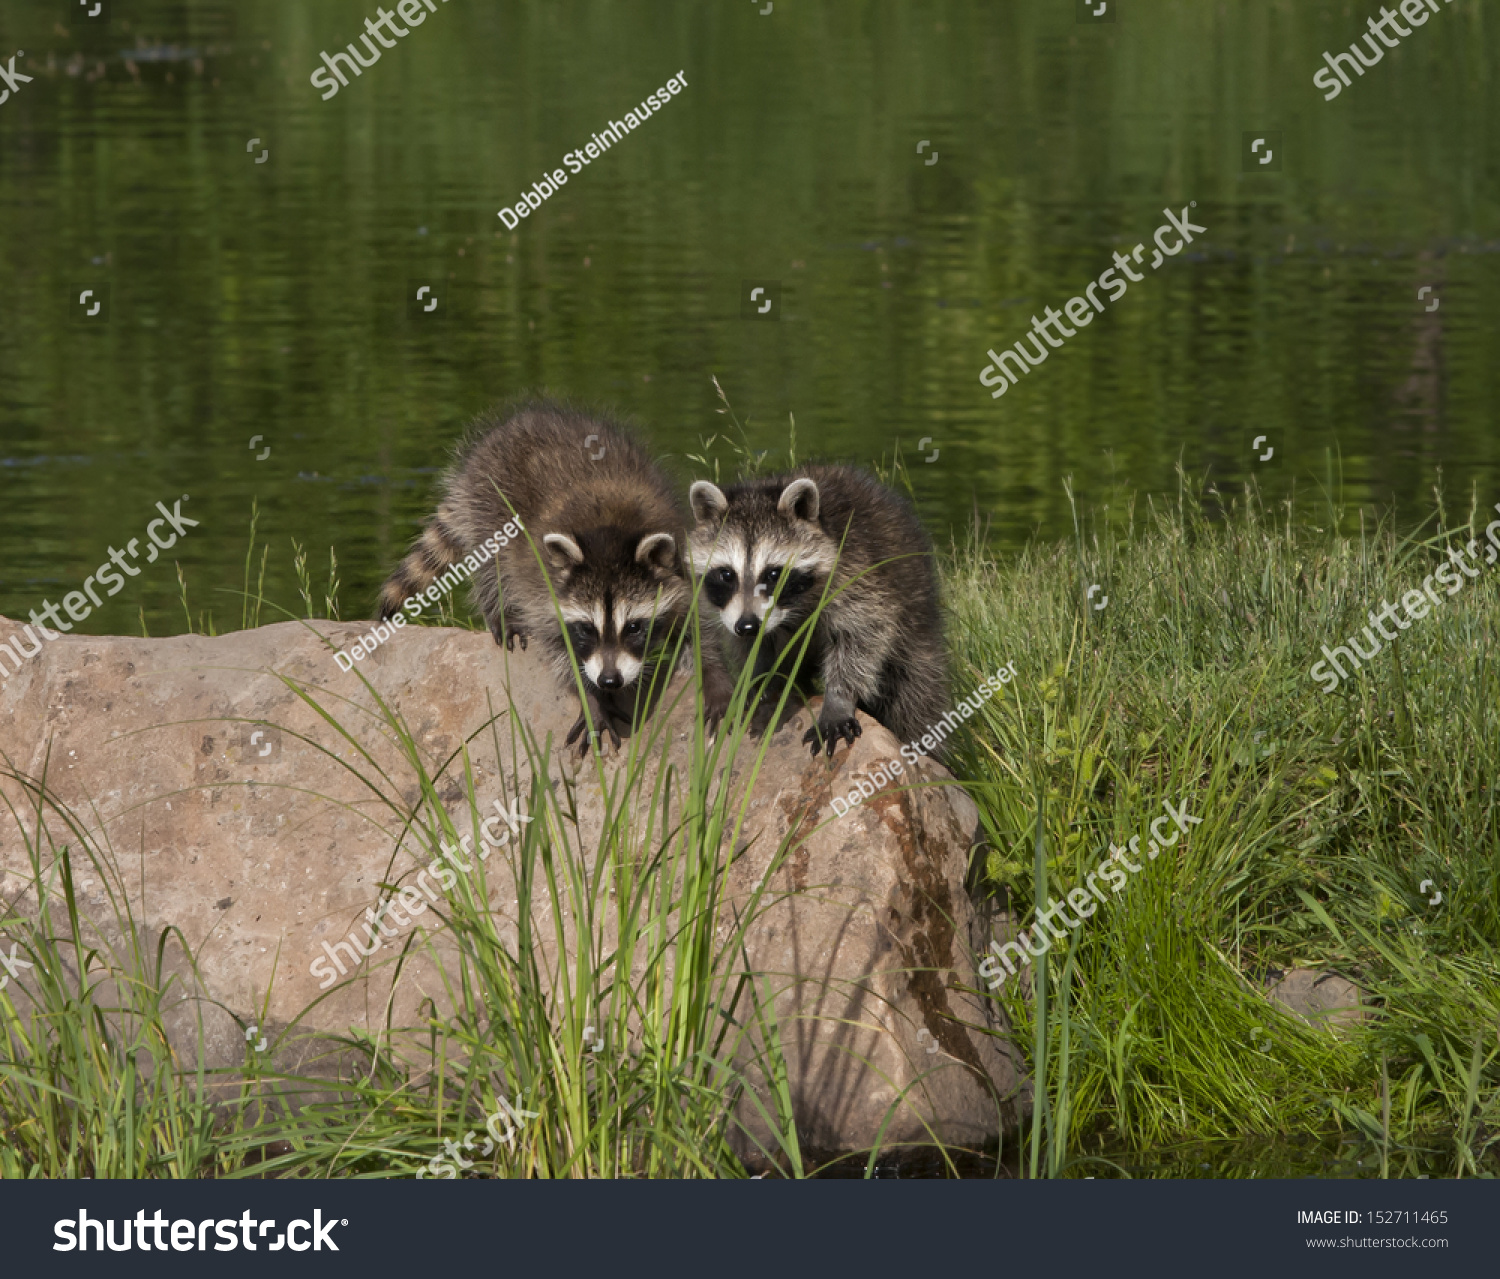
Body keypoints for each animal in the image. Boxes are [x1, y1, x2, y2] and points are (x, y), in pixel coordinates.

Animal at [375, 398, 726, 752]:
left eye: (634, 627)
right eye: (586, 628)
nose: (609, 680)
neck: (609, 535)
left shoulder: (681, 565)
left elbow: (701, 624)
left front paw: (714, 675)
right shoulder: (542, 589)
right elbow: (560, 650)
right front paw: (591, 697)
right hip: (487, 506)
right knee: (492, 568)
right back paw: (500, 609)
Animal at [687, 461, 948, 752]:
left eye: (773, 574)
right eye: (726, 575)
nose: (748, 626)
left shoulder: (857, 572)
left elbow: (862, 635)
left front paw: (837, 699)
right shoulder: (730, 612)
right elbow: (748, 643)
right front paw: (759, 672)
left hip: (916, 627)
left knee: (915, 698)